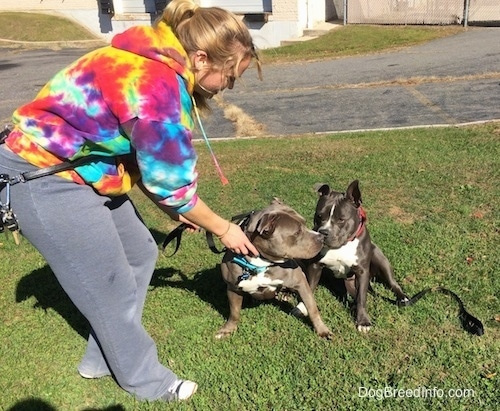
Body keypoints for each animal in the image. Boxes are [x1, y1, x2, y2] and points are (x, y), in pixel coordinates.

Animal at [217, 198, 334, 340]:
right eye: (297, 232)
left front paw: (323, 331)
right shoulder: (232, 288)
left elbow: (312, 308)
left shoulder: (301, 282)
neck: (261, 262)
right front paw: (228, 329)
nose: (321, 237)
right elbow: (234, 312)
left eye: (305, 223)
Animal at [298, 180, 408, 332]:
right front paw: (302, 306)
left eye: (341, 219)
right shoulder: (315, 266)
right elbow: (309, 286)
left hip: (381, 260)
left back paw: (402, 297)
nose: (323, 232)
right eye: (319, 216)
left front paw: (363, 321)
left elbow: (362, 297)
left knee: (392, 283)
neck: (341, 246)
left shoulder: (362, 272)